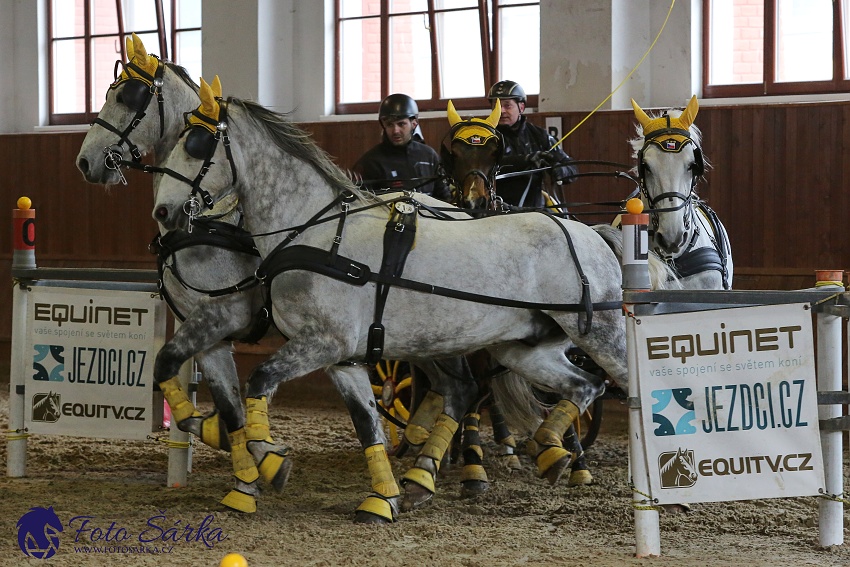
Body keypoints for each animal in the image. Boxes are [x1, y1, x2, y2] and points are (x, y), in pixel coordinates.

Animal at [149, 76, 632, 524]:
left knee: (623, 384)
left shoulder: (321, 342)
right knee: (582, 386)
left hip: (602, 337)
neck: (315, 233)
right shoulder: (344, 357)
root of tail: (591, 234)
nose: (162, 213)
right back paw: (545, 450)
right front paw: (382, 498)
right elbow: (368, 427)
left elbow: (259, 381)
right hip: (523, 348)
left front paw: (269, 460)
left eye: (196, 143)